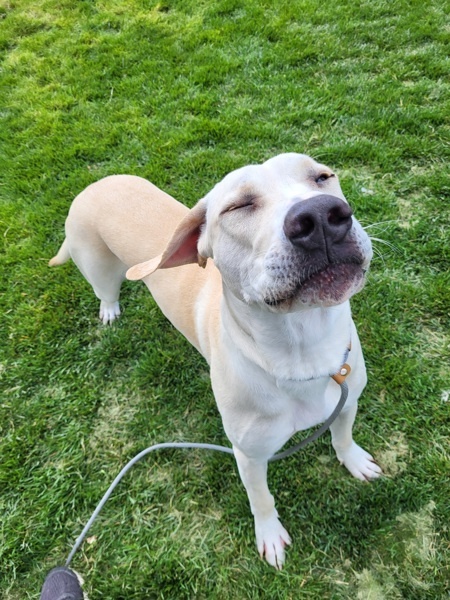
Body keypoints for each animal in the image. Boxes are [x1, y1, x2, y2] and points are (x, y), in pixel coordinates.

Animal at [48, 154, 380, 568]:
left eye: (322, 177)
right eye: (238, 206)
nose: (320, 217)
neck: (304, 353)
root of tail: (95, 184)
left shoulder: (347, 402)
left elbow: (343, 437)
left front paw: (354, 461)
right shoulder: (249, 456)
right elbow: (261, 499)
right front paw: (269, 535)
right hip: (97, 266)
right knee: (105, 290)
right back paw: (109, 309)